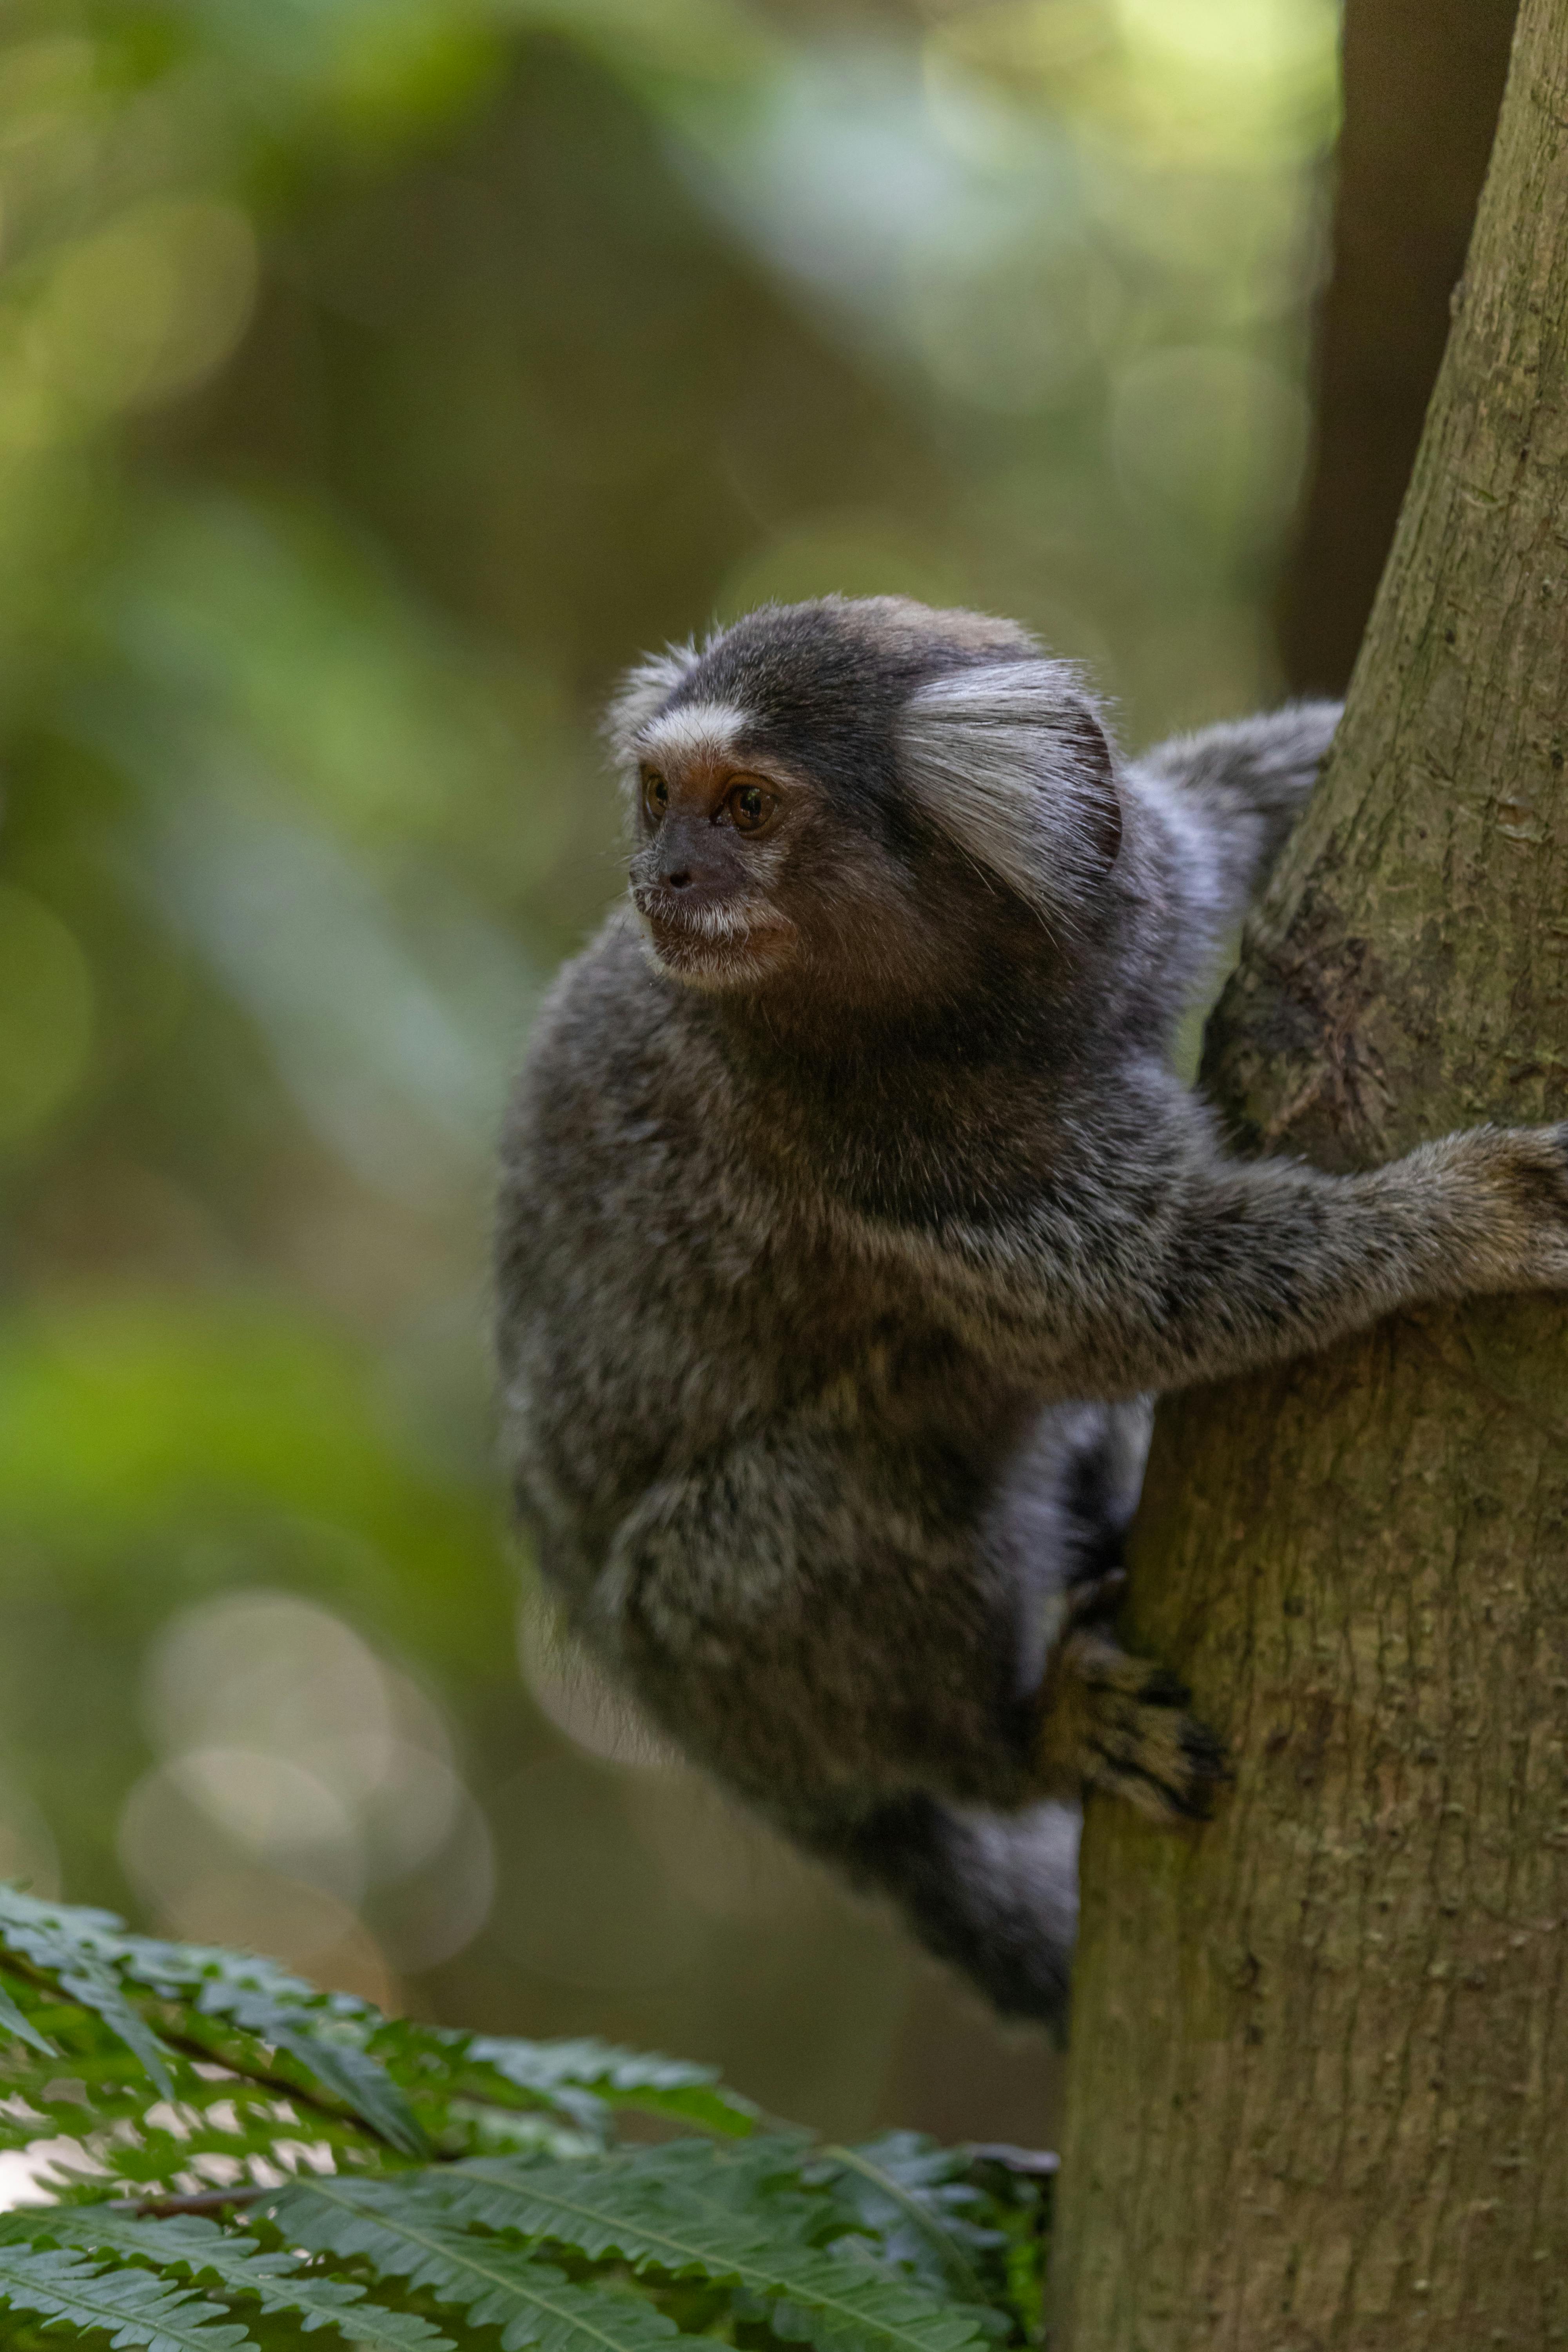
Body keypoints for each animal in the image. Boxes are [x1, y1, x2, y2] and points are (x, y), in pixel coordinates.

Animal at [496, 593, 1568, 2023]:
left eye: (744, 808)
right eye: (663, 799)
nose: (661, 877)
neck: (980, 1012)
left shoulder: (1148, 887)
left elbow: (1234, 795)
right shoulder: (890, 1152)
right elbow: (1141, 1303)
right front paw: (1462, 1218)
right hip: (706, 1664)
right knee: (824, 1503)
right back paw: (1028, 1736)